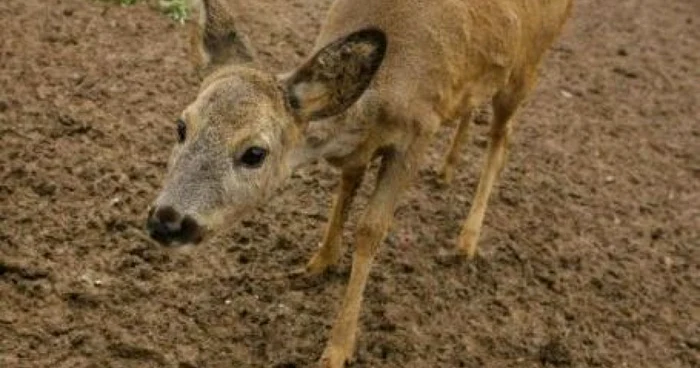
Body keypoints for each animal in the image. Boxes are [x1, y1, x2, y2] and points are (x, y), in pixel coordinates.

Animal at [145, 0, 572, 366]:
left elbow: (370, 230)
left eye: (254, 153)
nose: (167, 220)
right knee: (474, 110)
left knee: (502, 139)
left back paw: (466, 241)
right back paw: (447, 169)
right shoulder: (362, 148)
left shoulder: (419, 132)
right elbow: (346, 189)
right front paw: (318, 263)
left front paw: (337, 348)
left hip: (528, 66)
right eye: (180, 126)